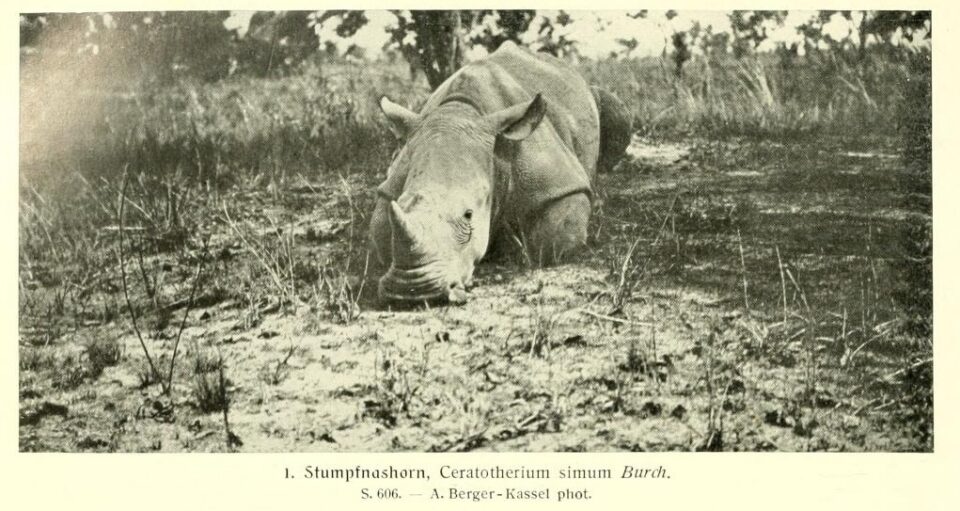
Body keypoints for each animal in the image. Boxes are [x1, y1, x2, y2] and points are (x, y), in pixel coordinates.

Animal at [370, 41, 631, 303]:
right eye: (400, 202)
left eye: (469, 215)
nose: (412, 291)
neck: (462, 110)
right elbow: (381, 232)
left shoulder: (559, 185)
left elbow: (554, 241)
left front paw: (508, 247)